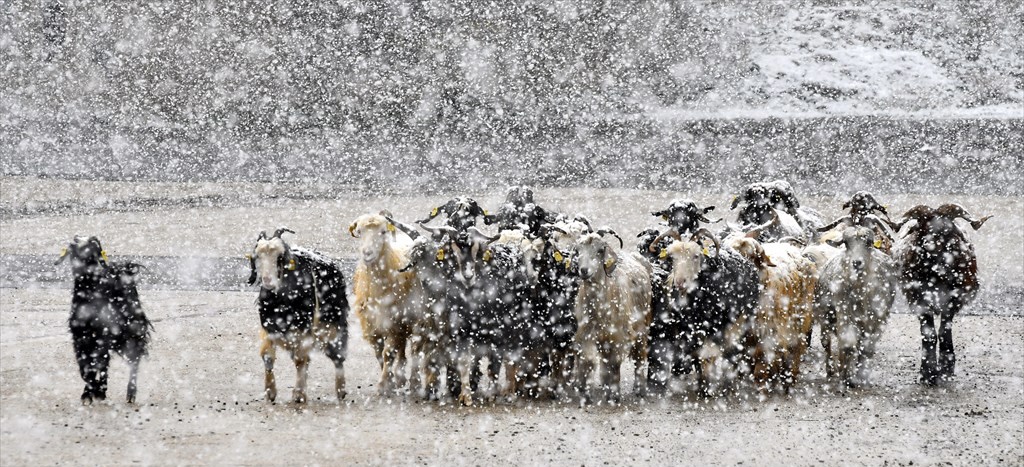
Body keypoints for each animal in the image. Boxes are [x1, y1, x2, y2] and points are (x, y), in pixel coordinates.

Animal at [58, 237, 151, 405]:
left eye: (91, 246)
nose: (75, 240)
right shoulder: (80, 337)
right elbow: (85, 368)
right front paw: (89, 393)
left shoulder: (105, 335)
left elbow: (99, 362)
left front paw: (96, 391)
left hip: (133, 331)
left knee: (134, 360)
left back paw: (130, 394)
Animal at [246, 228, 348, 403]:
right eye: (258, 256)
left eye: (280, 257)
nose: (268, 281)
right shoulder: (268, 328)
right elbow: (268, 357)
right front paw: (270, 392)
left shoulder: (303, 328)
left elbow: (300, 359)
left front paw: (299, 395)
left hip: (333, 323)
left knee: (337, 355)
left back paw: (341, 391)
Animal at [897, 203, 991, 383]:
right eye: (922, 228)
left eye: (946, 230)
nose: (929, 245)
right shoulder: (920, 301)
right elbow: (929, 334)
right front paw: (927, 373)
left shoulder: (953, 300)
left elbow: (944, 331)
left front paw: (946, 368)